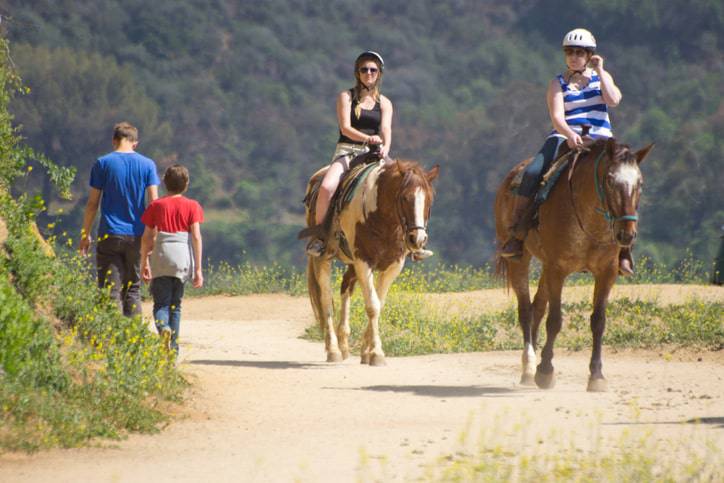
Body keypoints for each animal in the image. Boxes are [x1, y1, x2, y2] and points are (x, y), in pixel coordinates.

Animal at [302, 159, 438, 366]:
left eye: (429, 199)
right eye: (404, 198)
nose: (418, 239)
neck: (382, 218)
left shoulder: (393, 266)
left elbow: (379, 304)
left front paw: (366, 352)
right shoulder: (363, 262)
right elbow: (372, 306)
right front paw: (376, 353)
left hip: (351, 265)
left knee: (346, 287)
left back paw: (344, 344)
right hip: (323, 259)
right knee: (326, 299)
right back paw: (333, 350)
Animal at [494, 138, 652, 392]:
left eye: (640, 183)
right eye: (610, 180)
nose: (627, 234)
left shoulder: (606, 273)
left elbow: (598, 322)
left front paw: (596, 376)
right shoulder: (558, 269)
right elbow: (555, 321)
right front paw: (545, 371)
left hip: (546, 267)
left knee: (538, 306)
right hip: (521, 260)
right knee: (526, 310)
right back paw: (529, 368)